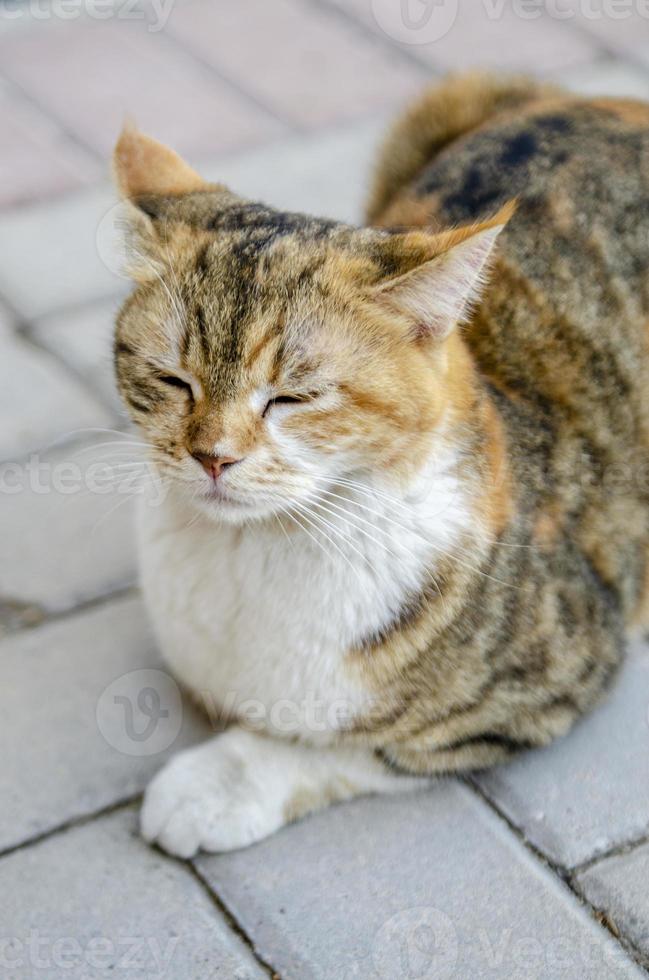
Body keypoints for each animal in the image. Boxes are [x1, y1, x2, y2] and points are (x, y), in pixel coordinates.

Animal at [114, 74, 648, 856]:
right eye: (172, 379)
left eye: (292, 397)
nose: (212, 456)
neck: (248, 551)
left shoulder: (551, 675)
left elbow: (352, 745)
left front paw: (218, 784)